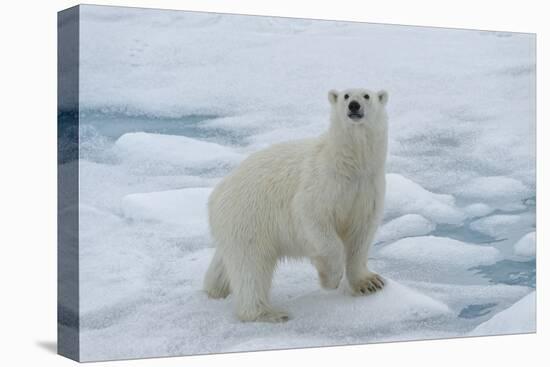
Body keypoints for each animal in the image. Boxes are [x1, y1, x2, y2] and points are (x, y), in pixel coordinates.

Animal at [205, 88, 390, 322]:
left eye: (366, 95)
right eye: (346, 95)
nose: (354, 106)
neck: (350, 164)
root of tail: (215, 195)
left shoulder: (367, 188)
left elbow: (361, 234)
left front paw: (369, 282)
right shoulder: (322, 183)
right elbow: (314, 219)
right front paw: (329, 279)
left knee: (226, 262)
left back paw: (215, 289)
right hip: (249, 218)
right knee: (251, 267)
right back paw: (268, 313)